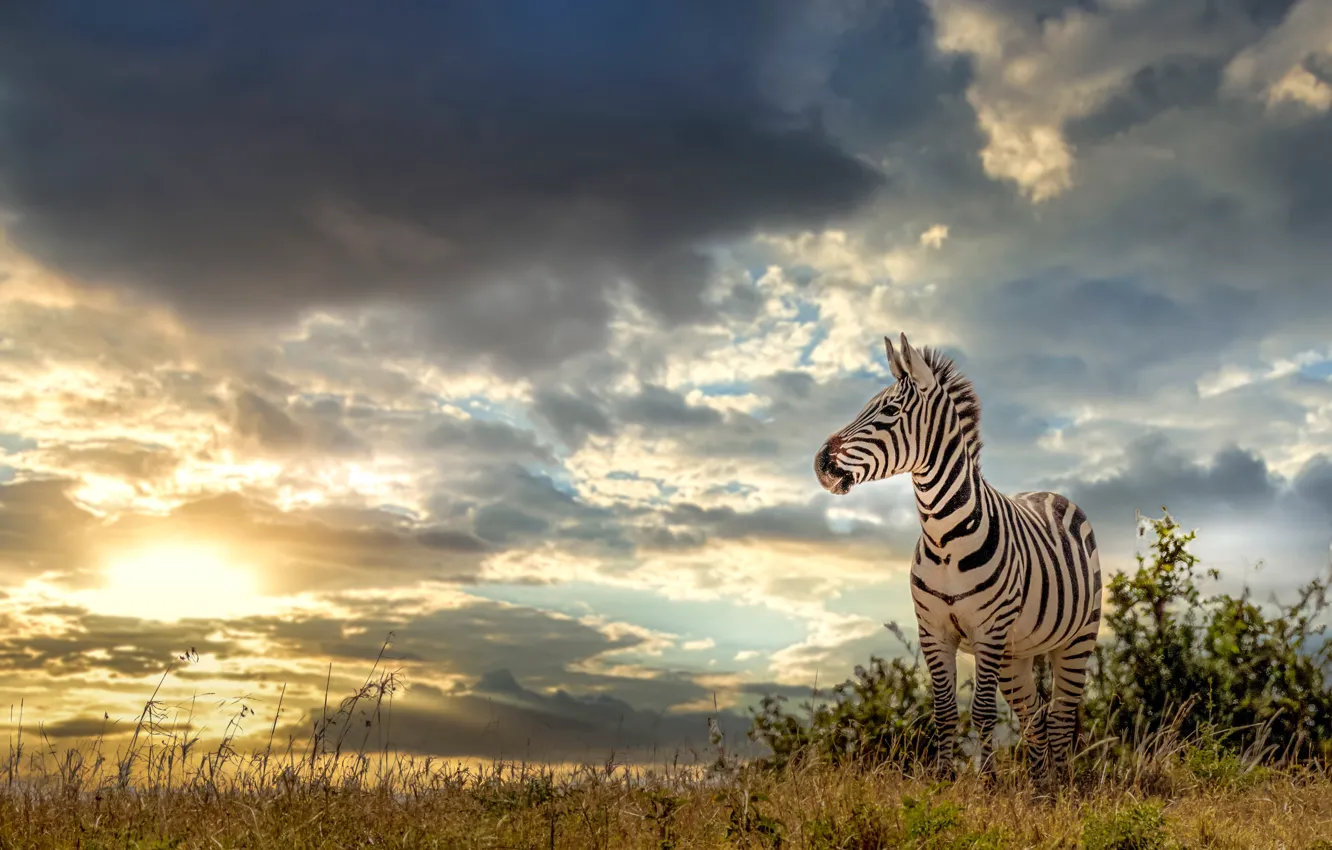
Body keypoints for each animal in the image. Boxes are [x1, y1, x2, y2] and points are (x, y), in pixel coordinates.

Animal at [813, 333, 1102, 780]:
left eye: (890, 410)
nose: (822, 464)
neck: (944, 537)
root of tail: (1049, 494)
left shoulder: (989, 631)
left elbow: (981, 712)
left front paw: (988, 784)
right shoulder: (933, 631)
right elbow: (945, 711)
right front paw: (942, 780)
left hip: (1076, 639)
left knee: (1059, 716)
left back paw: (1063, 786)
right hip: (1017, 653)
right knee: (1035, 715)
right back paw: (1040, 787)